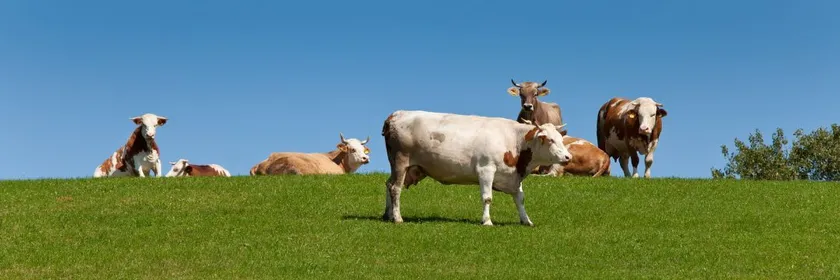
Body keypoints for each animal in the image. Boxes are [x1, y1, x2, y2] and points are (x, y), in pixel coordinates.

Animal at [378, 110, 572, 226]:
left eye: (561, 139)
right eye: (550, 140)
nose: (568, 157)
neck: (514, 140)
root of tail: (396, 114)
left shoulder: (513, 177)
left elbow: (520, 199)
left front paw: (526, 221)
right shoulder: (486, 169)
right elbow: (487, 198)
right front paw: (487, 221)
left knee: (388, 185)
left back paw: (388, 215)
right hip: (401, 161)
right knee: (395, 188)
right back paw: (397, 218)